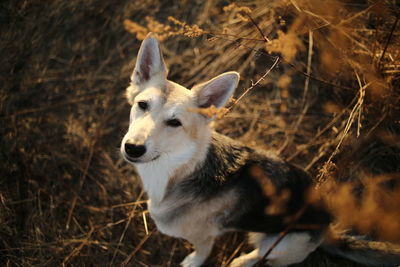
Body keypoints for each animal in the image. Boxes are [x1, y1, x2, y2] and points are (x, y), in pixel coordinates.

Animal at [121, 34, 400, 267]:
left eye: (174, 123)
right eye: (142, 105)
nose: (132, 148)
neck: (179, 168)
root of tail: (327, 230)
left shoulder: (203, 237)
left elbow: (202, 252)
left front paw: (193, 262)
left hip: (278, 242)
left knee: (258, 257)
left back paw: (240, 262)